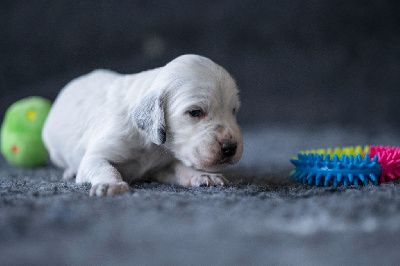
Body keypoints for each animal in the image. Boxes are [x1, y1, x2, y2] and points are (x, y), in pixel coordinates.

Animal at [42, 54, 242, 196]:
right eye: (195, 112)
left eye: (233, 111)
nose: (230, 148)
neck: (151, 145)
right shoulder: (99, 152)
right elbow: (103, 166)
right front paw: (111, 184)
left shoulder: (163, 164)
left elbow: (180, 168)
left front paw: (202, 175)